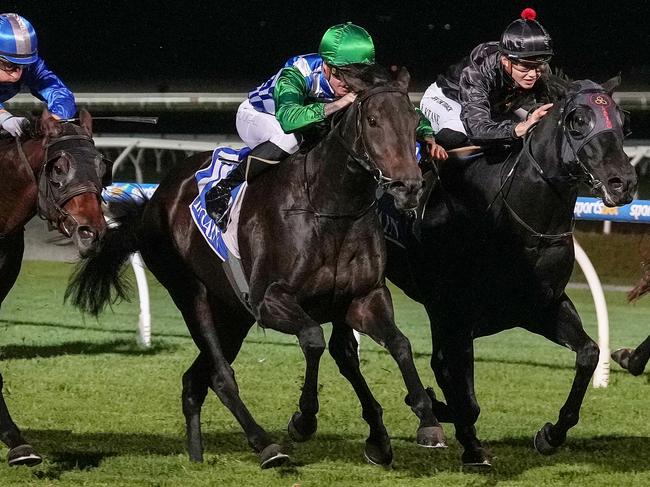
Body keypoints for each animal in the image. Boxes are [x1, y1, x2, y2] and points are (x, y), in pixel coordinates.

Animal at [68, 67, 448, 468]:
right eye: (373, 121)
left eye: (414, 122)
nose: (409, 187)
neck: (329, 207)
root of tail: (153, 203)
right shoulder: (270, 301)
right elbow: (313, 340)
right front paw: (304, 419)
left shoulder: (363, 297)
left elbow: (396, 344)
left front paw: (424, 422)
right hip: (194, 296)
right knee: (221, 376)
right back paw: (265, 444)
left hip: (233, 314)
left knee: (195, 380)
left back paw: (197, 456)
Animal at [382, 76, 636, 468]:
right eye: (578, 120)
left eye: (624, 122)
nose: (622, 183)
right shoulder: (454, 315)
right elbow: (461, 390)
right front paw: (455, 431)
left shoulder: (540, 307)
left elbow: (589, 353)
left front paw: (551, 435)